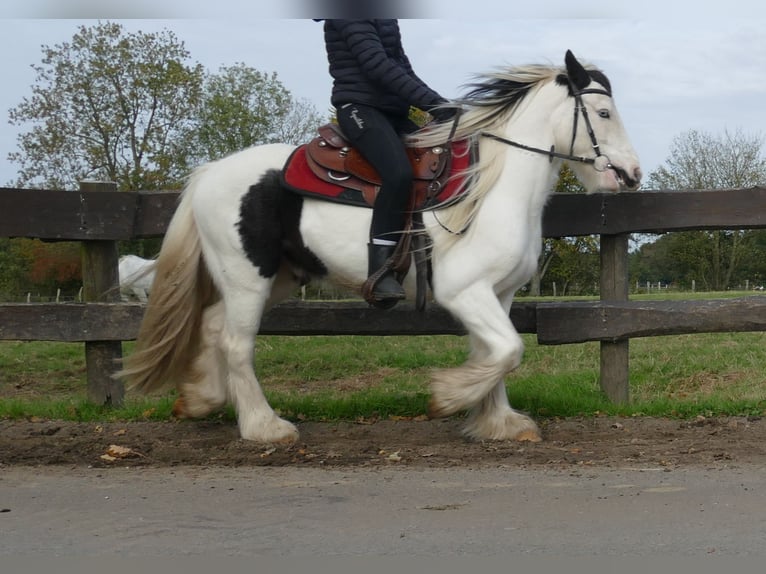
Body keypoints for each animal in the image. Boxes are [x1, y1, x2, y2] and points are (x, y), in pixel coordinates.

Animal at [118, 50, 640, 446]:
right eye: (604, 113)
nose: (631, 175)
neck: (490, 189)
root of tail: (208, 174)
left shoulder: (499, 293)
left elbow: (495, 352)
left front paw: (496, 422)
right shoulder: (464, 291)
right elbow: (508, 350)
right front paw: (449, 397)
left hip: (277, 277)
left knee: (210, 327)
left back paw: (202, 399)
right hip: (248, 277)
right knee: (234, 342)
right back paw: (265, 427)